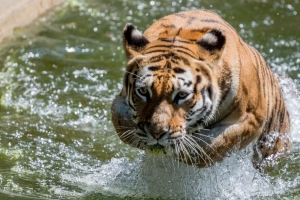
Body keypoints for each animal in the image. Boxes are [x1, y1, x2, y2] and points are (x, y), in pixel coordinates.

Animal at [110, 9, 290, 168]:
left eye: (182, 95)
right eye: (143, 91)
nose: (156, 133)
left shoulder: (252, 117)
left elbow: (214, 145)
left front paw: (185, 149)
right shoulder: (120, 100)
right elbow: (121, 122)